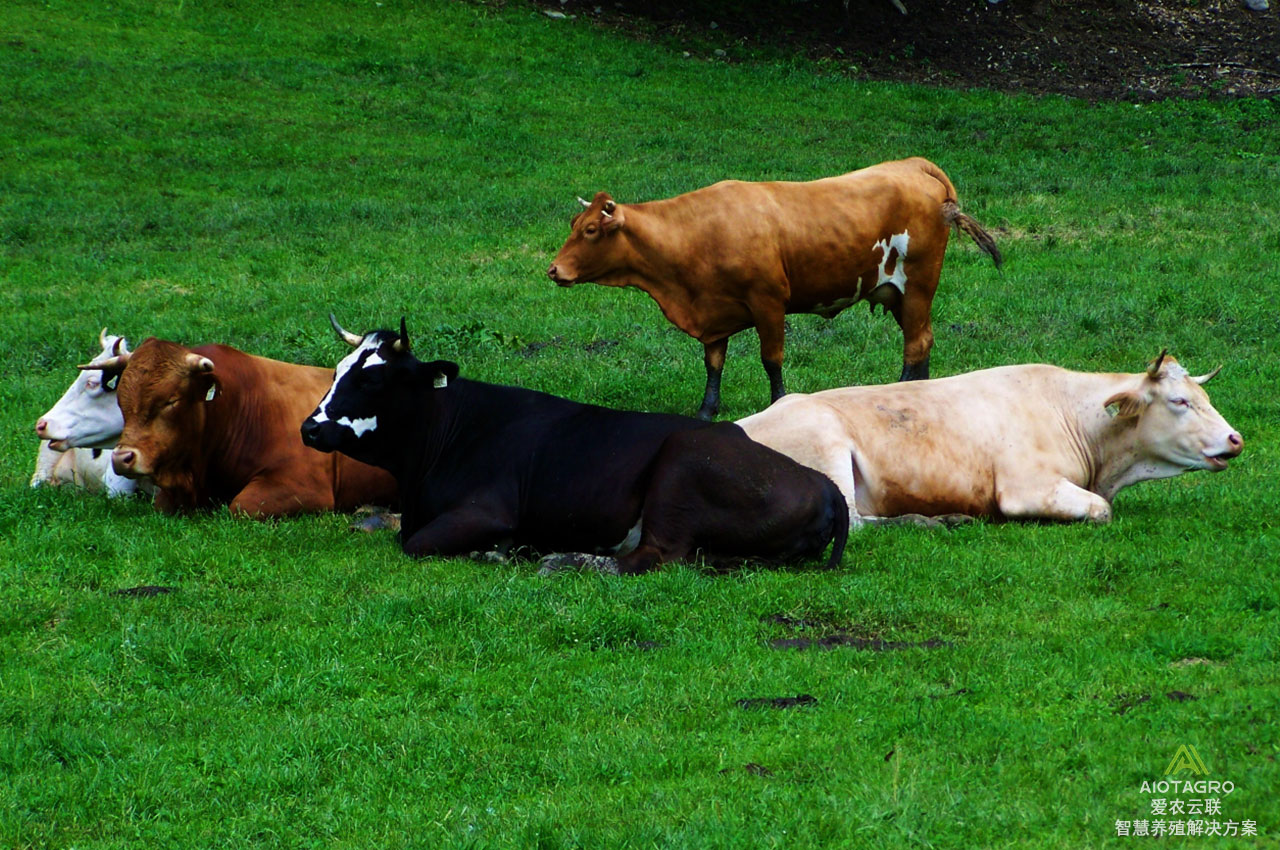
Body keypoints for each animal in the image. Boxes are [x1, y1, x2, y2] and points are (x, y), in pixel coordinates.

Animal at [294, 314, 844, 573]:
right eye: (338, 371)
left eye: (372, 379)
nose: (309, 428)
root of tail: (822, 484)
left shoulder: (486, 511)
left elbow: (414, 543)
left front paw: (497, 552)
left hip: (679, 470)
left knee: (648, 558)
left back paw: (561, 561)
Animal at [542, 155, 998, 417]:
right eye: (574, 224)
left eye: (590, 231)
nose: (554, 270)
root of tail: (912, 164)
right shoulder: (714, 312)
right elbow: (713, 363)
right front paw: (707, 410)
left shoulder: (768, 301)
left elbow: (771, 359)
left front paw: (778, 403)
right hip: (901, 294)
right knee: (923, 339)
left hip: (919, 283)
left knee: (916, 343)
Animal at [737, 350, 1244, 524]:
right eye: (1179, 401)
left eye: (1203, 395)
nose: (1236, 438)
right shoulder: (1026, 487)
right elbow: (1101, 510)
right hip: (827, 447)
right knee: (857, 521)